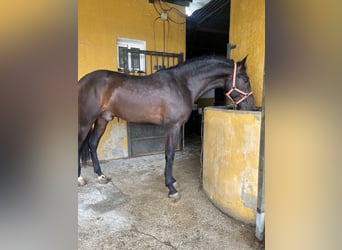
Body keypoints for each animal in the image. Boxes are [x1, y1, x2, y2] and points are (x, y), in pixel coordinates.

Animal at [77, 55, 254, 199]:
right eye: (245, 79)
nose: (251, 107)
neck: (183, 84)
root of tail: (82, 81)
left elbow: (169, 155)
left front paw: (172, 181)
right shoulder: (173, 126)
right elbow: (170, 154)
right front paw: (171, 188)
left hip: (102, 119)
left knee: (92, 144)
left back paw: (100, 175)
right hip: (85, 122)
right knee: (80, 146)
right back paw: (79, 179)